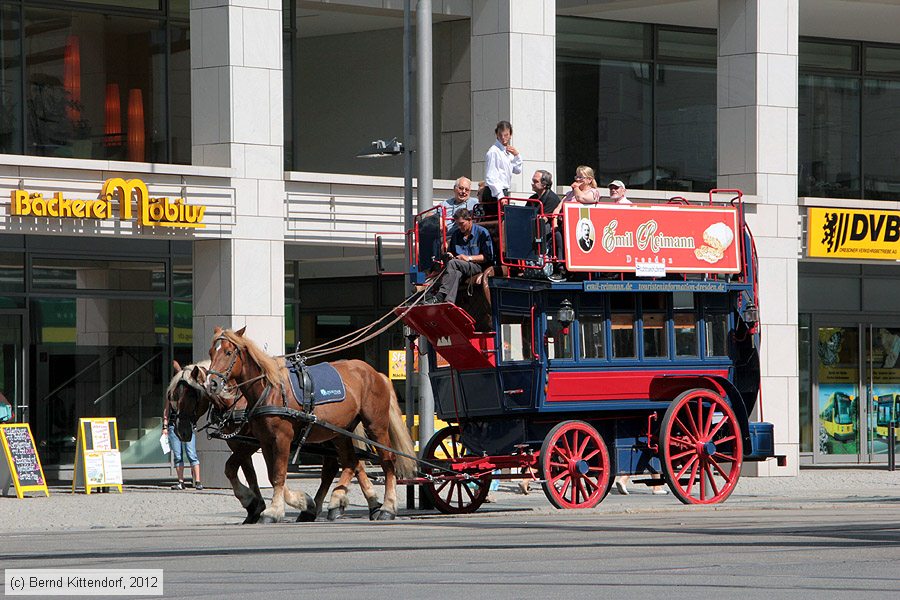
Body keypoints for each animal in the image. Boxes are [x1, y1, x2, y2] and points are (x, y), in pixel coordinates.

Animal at [203, 328, 414, 520]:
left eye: (228, 352)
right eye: (211, 352)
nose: (211, 383)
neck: (270, 390)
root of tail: (376, 373)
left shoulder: (279, 439)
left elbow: (277, 474)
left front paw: (273, 510)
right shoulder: (264, 441)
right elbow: (269, 474)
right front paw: (300, 501)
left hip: (376, 427)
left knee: (387, 461)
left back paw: (387, 507)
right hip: (340, 432)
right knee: (349, 463)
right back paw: (338, 502)